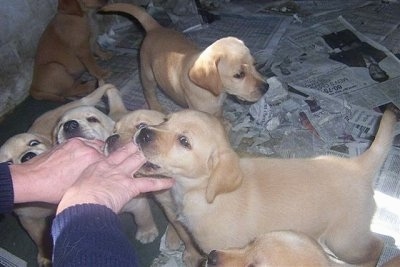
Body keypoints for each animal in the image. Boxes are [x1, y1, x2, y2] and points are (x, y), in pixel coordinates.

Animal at [0, 133, 53, 266]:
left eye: (34, 143)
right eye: (8, 163)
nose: (28, 157)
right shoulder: (28, 220)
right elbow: (39, 238)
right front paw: (45, 256)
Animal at [101, 2, 268, 117]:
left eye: (255, 64)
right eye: (239, 75)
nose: (266, 87)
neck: (215, 92)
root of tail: (155, 28)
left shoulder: (217, 108)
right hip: (147, 73)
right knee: (149, 92)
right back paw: (156, 107)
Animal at [134, 109, 396, 267]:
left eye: (184, 141)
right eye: (165, 119)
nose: (143, 131)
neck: (203, 192)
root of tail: (358, 166)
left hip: (345, 240)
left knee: (377, 246)